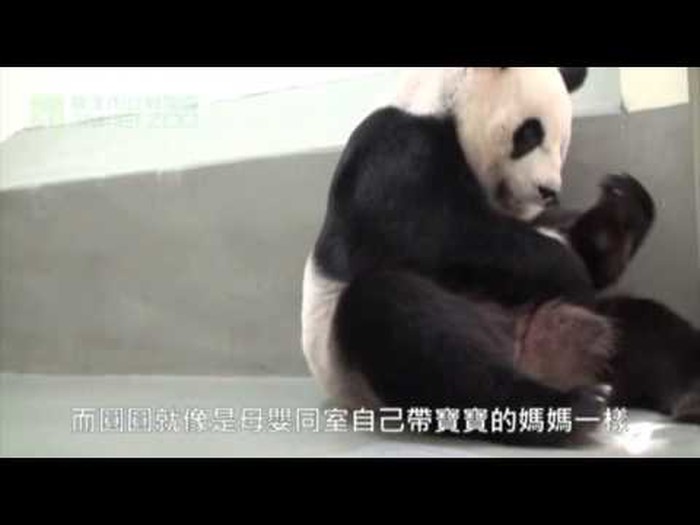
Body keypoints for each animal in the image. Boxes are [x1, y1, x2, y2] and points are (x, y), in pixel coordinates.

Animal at [301, 67, 698, 446]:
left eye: (563, 143)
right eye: (531, 134)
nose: (548, 190)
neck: (437, 106)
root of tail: (545, 360)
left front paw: (620, 213)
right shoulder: (396, 146)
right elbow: (426, 234)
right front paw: (568, 267)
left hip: (583, 318)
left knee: (649, 327)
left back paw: (687, 397)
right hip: (358, 366)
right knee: (410, 326)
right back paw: (568, 410)